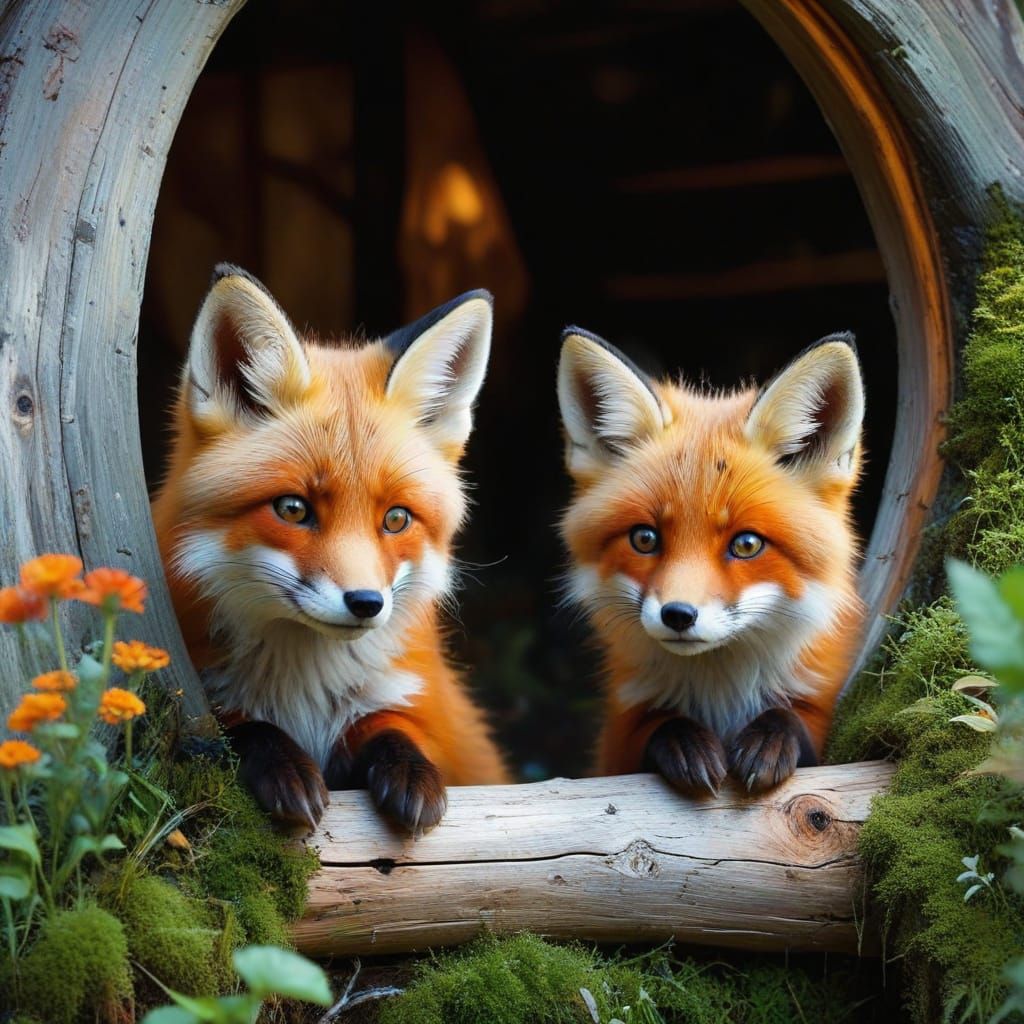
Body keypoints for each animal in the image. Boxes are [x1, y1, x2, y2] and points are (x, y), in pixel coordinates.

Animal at [151, 264, 508, 833]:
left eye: (396, 519)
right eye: (294, 509)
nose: (366, 604)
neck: (303, 688)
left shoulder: (416, 702)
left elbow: (395, 728)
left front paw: (411, 773)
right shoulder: (202, 703)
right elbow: (242, 728)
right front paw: (284, 766)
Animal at [557, 328, 866, 795]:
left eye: (746, 545)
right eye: (645, 538)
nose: (678, 615)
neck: (722, 693)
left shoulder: (821, 703)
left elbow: (794, 720)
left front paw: (772, 738)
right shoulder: (618, 737)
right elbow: (655, 726)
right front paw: (684, 742)